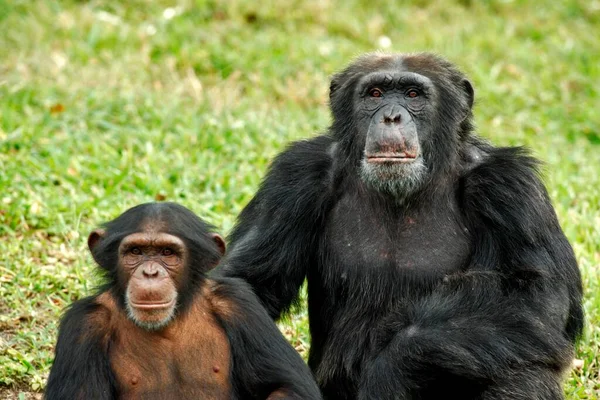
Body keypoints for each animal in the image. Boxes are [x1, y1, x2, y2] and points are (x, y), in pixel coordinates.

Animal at [45, 203, 324, 400]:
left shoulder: (240, 304)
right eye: (135, 251)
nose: (150, 273)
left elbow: (288, 386)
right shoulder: (83, 325)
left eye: (168, 252)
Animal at [218, 54, 584, 400]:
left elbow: (536, 294)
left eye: (412, 94)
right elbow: (250, 280)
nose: (391, 116)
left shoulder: (512, 187)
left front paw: (391, 368)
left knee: (522, 369)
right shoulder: (294, 176)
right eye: (375, 93)